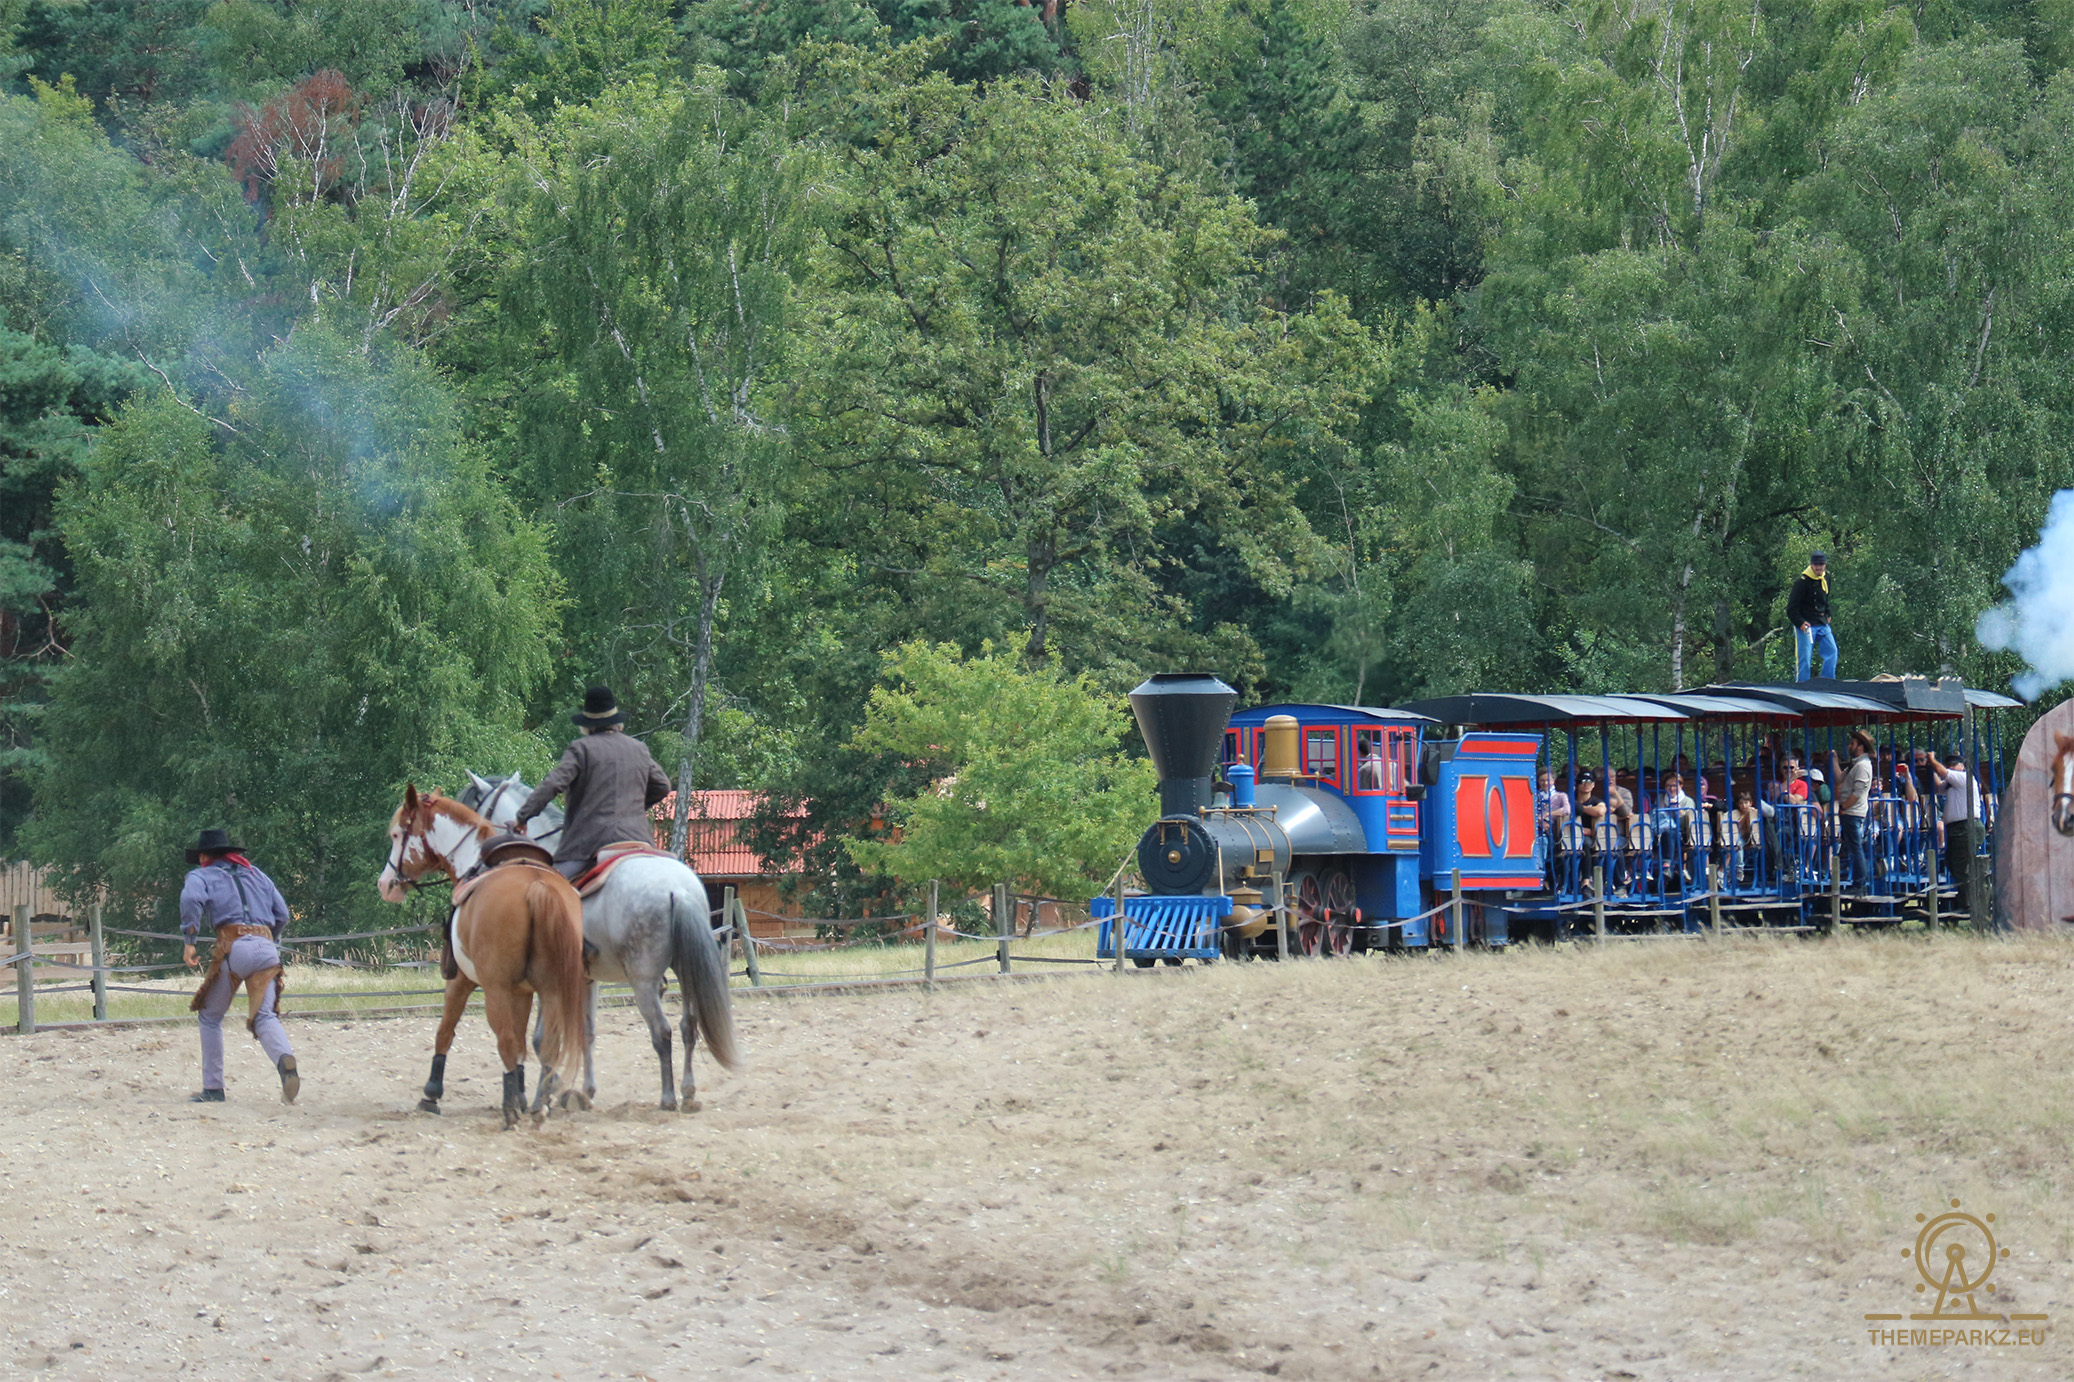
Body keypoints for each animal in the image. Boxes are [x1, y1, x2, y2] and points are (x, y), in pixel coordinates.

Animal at [377, 780, 589, 1128]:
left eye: (396, 834)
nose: (385, 884)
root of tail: (537, 887)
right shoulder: (523, 991)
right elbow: (521, 1043)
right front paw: (521, 1093)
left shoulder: (462, 980)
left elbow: (445, 1031)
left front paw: (431, 1094)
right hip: (552, 988)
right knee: (546, 1045)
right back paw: (539, 1103)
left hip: (496, 990)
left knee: (505, 1042)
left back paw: (510, 1110)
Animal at [460, 763, 738, 1112]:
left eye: (473, 810)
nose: (472, 868)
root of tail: (678, 889)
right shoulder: (587, 979)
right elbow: (588, 1031)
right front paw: (584, 1091)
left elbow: (545, 1038)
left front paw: (553, 1093)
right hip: (685, 969)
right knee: (689, 1025)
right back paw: (687, 1092)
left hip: (643, 982)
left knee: (662, 1032)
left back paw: (668, 1097)